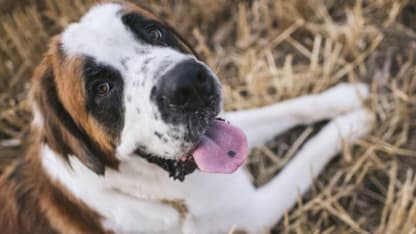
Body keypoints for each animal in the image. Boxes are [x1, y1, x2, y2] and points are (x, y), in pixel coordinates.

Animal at [0, 0, 372, 233]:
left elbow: (280, 109)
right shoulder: (252, 213)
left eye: (154, 32)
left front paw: (345, 97)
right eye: (102, 88)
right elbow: (306, 158)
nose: (188, 84)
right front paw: (350, 124)